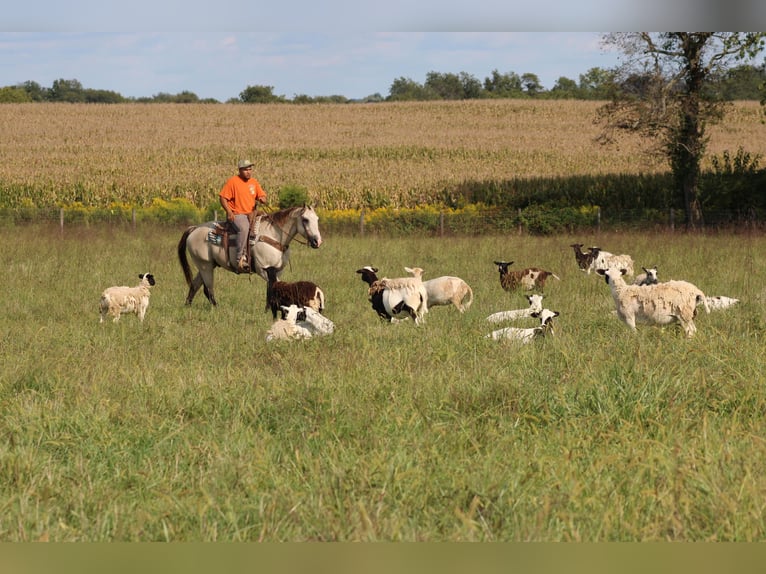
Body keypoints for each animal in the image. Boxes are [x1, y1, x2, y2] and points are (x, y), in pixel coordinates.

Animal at [178, 206, 322, 308]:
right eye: (305, 220)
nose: (317, 241)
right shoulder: (263, 269)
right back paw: (216, 307)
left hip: (207, 265)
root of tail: (195, 228)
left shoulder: (277, 270)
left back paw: (187, 306)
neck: (273, 235)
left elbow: (274, 287)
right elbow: (274, 286)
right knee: (208, 289)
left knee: (195, 285)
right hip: (205, 265)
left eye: (317, 219)